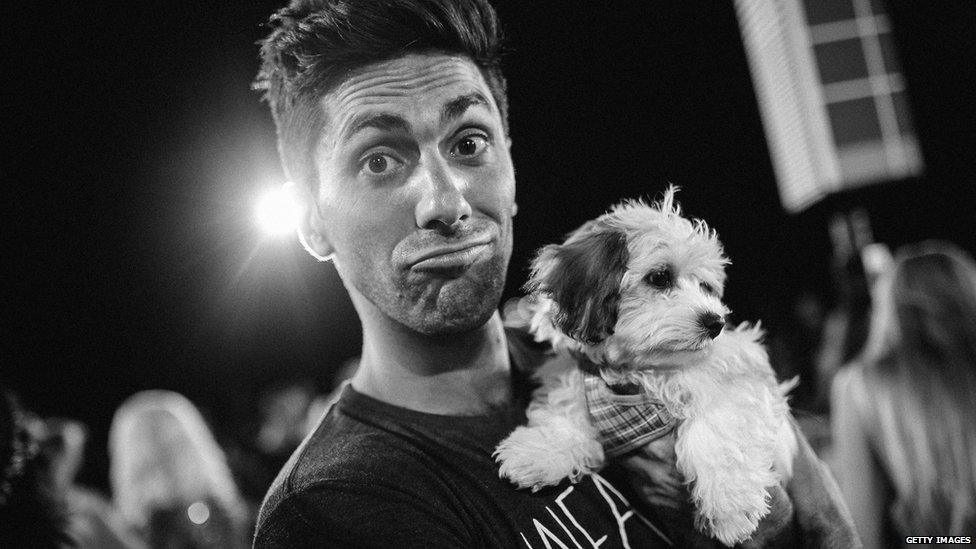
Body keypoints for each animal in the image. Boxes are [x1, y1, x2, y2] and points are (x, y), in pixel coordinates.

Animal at [492, 187, 796, 544]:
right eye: (660, 277)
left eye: (705, 287)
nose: (716, 322)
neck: (638, 369)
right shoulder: (582, 380)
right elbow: (566, 416)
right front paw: (537, 452)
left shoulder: (733, 374)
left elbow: (717, 428)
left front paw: (729, 507)